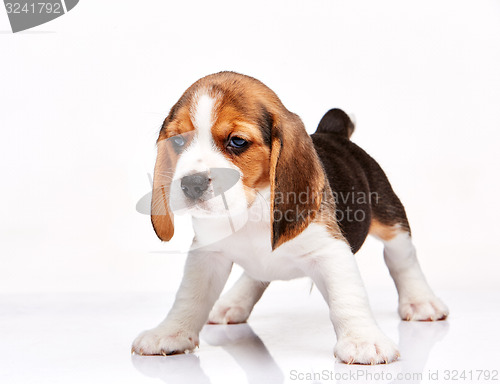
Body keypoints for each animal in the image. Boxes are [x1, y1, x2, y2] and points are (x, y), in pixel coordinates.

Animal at [131, 71, 448, 364]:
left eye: (237, 141)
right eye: (178, 141)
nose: (191, 184)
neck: (252, 210)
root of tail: (333, 133)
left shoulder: (331, 249)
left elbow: (348, 296)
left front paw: (362, 340)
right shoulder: (207, 254)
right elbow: (190, 296)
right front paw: (170, 332)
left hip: (390, 216)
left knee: (401, 257)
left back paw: (421, 301)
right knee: (256, 274)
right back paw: (234, 302)